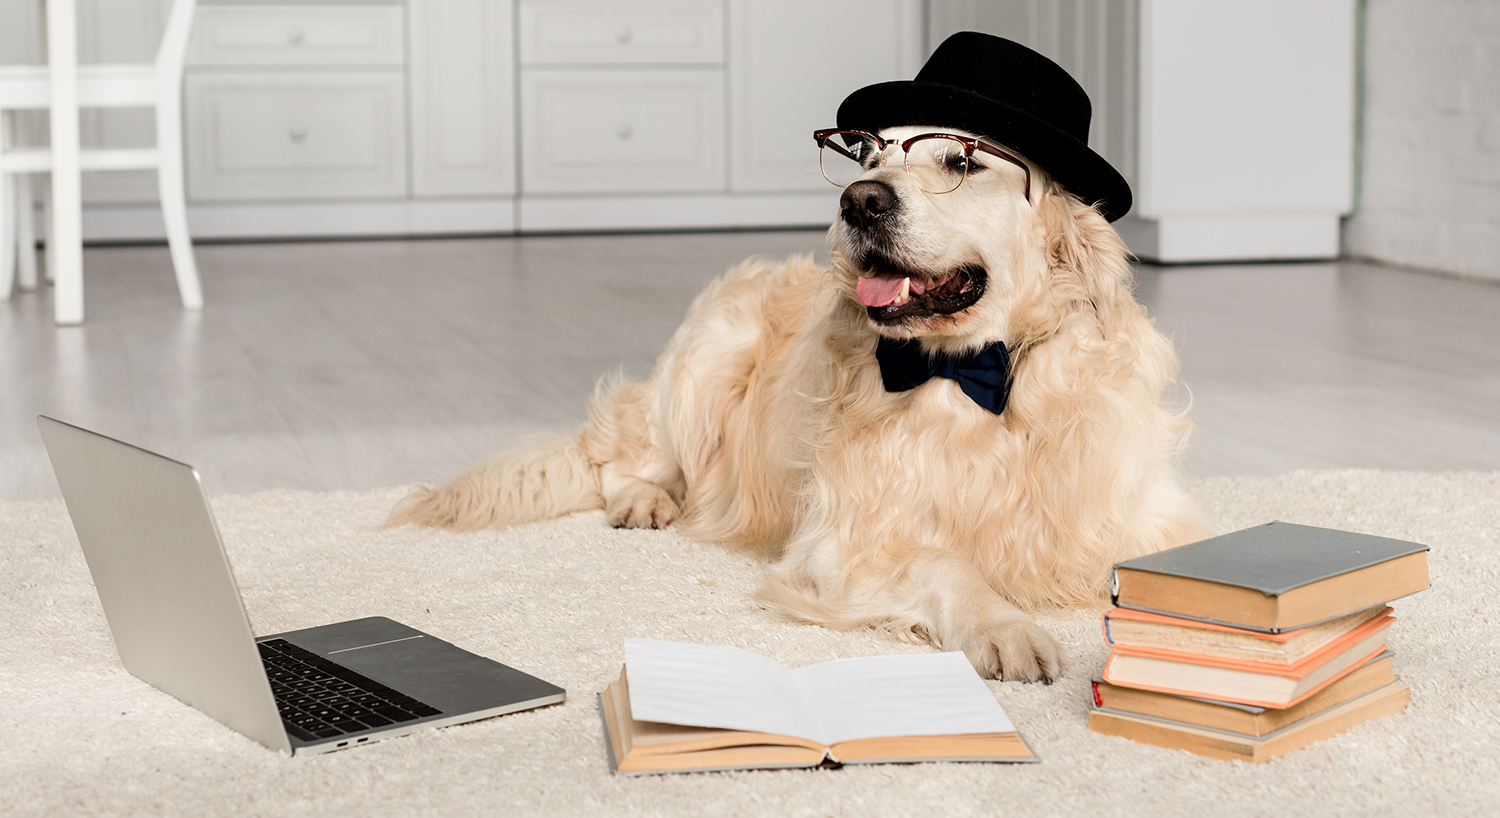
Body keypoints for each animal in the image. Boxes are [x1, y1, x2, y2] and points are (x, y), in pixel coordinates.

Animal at [387, 35, 1206, 678]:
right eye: (868, 151)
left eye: (962, 163)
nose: (861, 201)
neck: (975, 372)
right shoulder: (839, 543)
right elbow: (943, 560)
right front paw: (1005, 626)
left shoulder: (1136, 518)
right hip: (708, 360)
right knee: (625, 458)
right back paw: (646, 499)